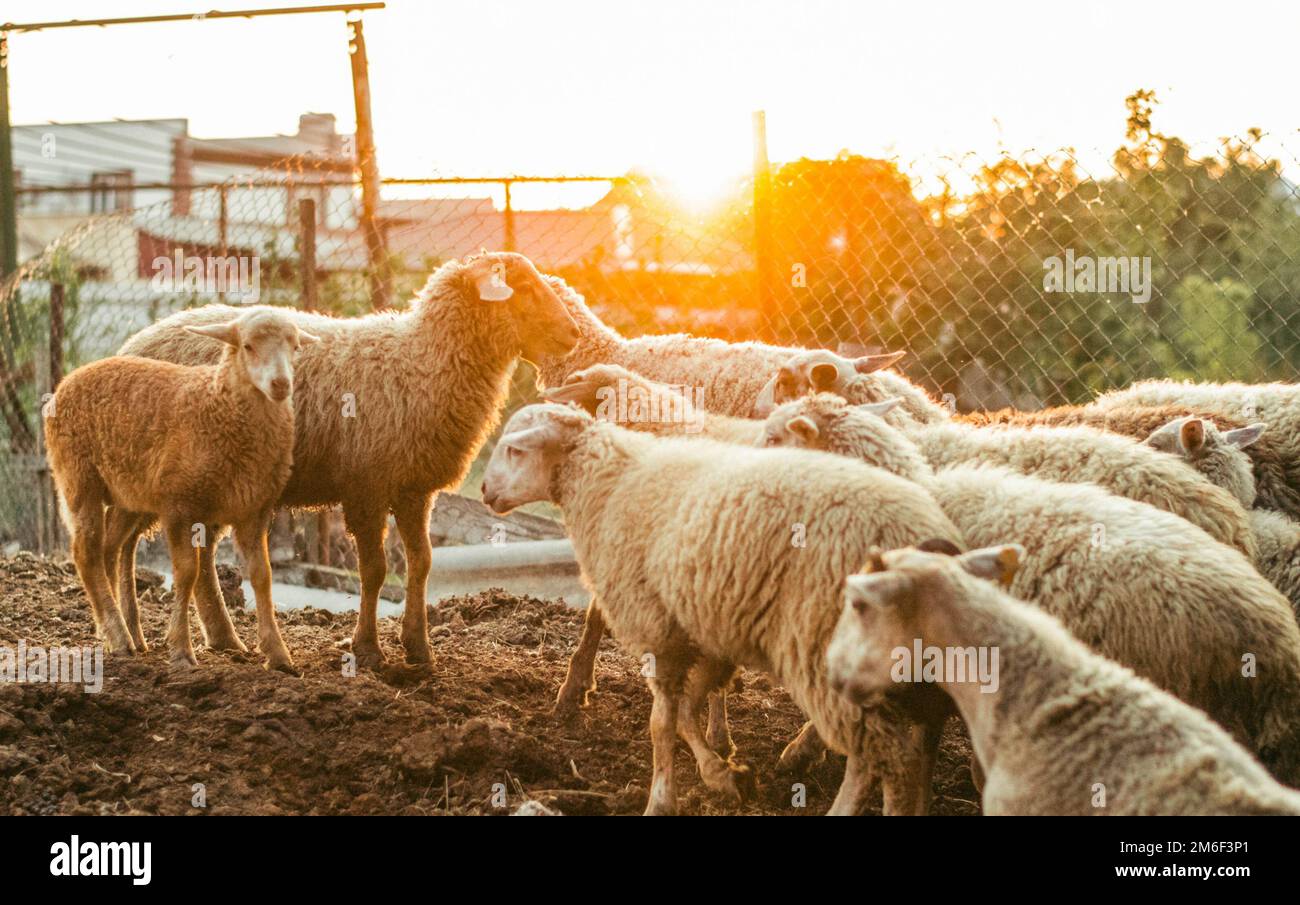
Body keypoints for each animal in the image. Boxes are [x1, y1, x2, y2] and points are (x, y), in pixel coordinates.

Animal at [45, 310, 314, 670]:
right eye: (247, 346)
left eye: (295, 346)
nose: (280, 384)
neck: (219, 405)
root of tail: (68, 380)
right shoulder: (179, 506)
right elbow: (187, 573)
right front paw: (181, 649)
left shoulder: (254, 510)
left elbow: (262, 575)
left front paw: (278, 653)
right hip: (79, 478)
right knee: (86, 553)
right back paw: (118, 636)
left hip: (128, 494)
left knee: (109, 550)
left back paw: (123, 633)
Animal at [116, 250, 579, 665]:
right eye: (521, 288)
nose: (573, 333)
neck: (422, 361)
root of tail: (135, 341)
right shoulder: (367, 487)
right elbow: (373, 569)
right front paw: (368, 649)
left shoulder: (414, 489)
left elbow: (422, 563)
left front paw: (419, 647)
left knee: (203, 551)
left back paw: (224, 639)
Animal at [480, 400, 967, 811]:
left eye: (515, 449)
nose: (484, 489)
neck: (608, 482)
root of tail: (916, 534)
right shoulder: (702, 632)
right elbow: (687, 713)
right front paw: (724, 775)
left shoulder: (657, 628)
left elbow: (662, 722)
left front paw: (662, 800)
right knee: (910, 749)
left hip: (826, 648)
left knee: (883, 759)